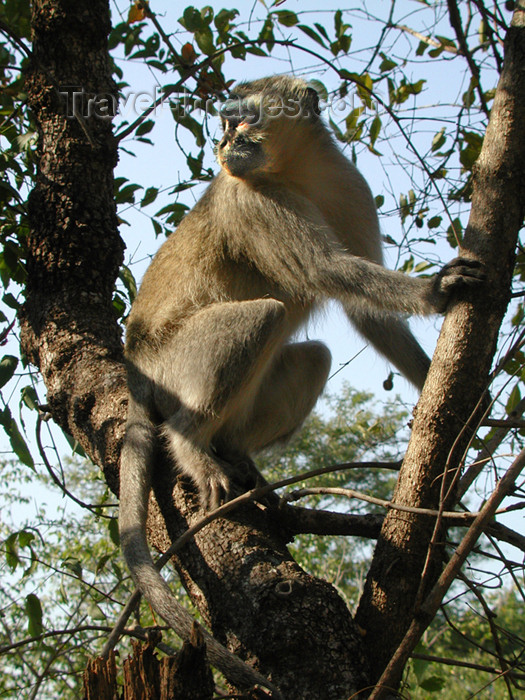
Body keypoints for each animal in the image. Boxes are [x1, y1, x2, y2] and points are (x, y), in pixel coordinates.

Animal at [118, 74, 484, 688]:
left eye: (240, 118)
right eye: (224, 122)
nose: (223, 142)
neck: (296, 170)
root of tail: (133, 361)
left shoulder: (349, 185)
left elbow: (367, 314)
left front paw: (442, 388)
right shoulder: (248, 198)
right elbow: (328, 271)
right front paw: (435, 291)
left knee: (312, 357)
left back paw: (235, 453)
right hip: (175, 362)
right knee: (262, 317)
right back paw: (192, 445)